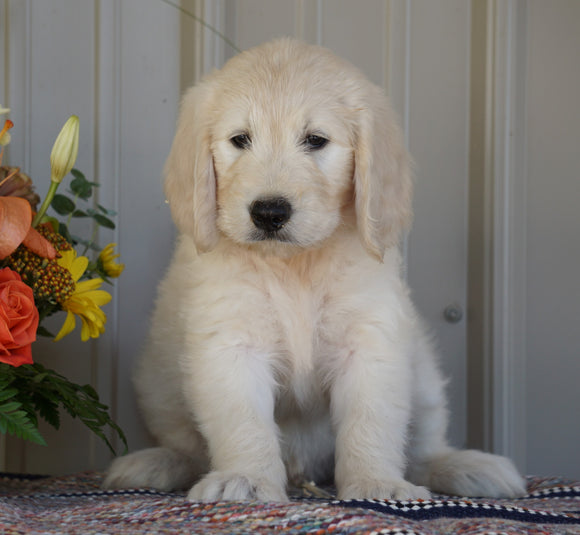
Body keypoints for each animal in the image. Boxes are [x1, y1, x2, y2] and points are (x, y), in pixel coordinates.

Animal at [104, 38, 524, 502]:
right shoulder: (232, 342)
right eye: (240, 140)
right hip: (157, 382)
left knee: (423, 448)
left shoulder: (370, 340)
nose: (269, 213)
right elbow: (243, 422)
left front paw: (375, 483)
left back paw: (466, 466)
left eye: (315, 140)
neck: (295, 266)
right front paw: (246, 479)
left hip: (424, 377)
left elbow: (371, 421)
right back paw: (155, 463)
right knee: (186, 446)